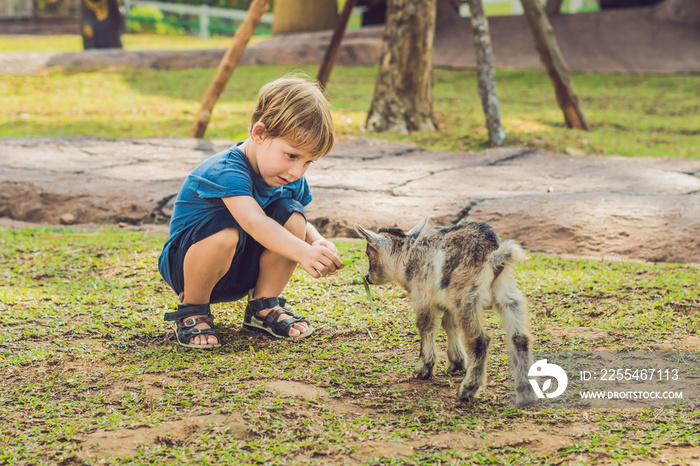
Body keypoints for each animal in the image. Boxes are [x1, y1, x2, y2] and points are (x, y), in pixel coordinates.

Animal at [356, 218, 536, 404]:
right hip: (507, 295)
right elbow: (449, 325)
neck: (406, 255)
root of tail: (493, 256)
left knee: (480, 340)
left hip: (466, 298)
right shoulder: (449, 304)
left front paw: (424, 369)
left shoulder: (423, 297)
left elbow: (426, 327)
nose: (367, 277)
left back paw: (468, 389)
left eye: (369, 253)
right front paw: (457, 362)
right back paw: (526, 393)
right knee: (519, 337)